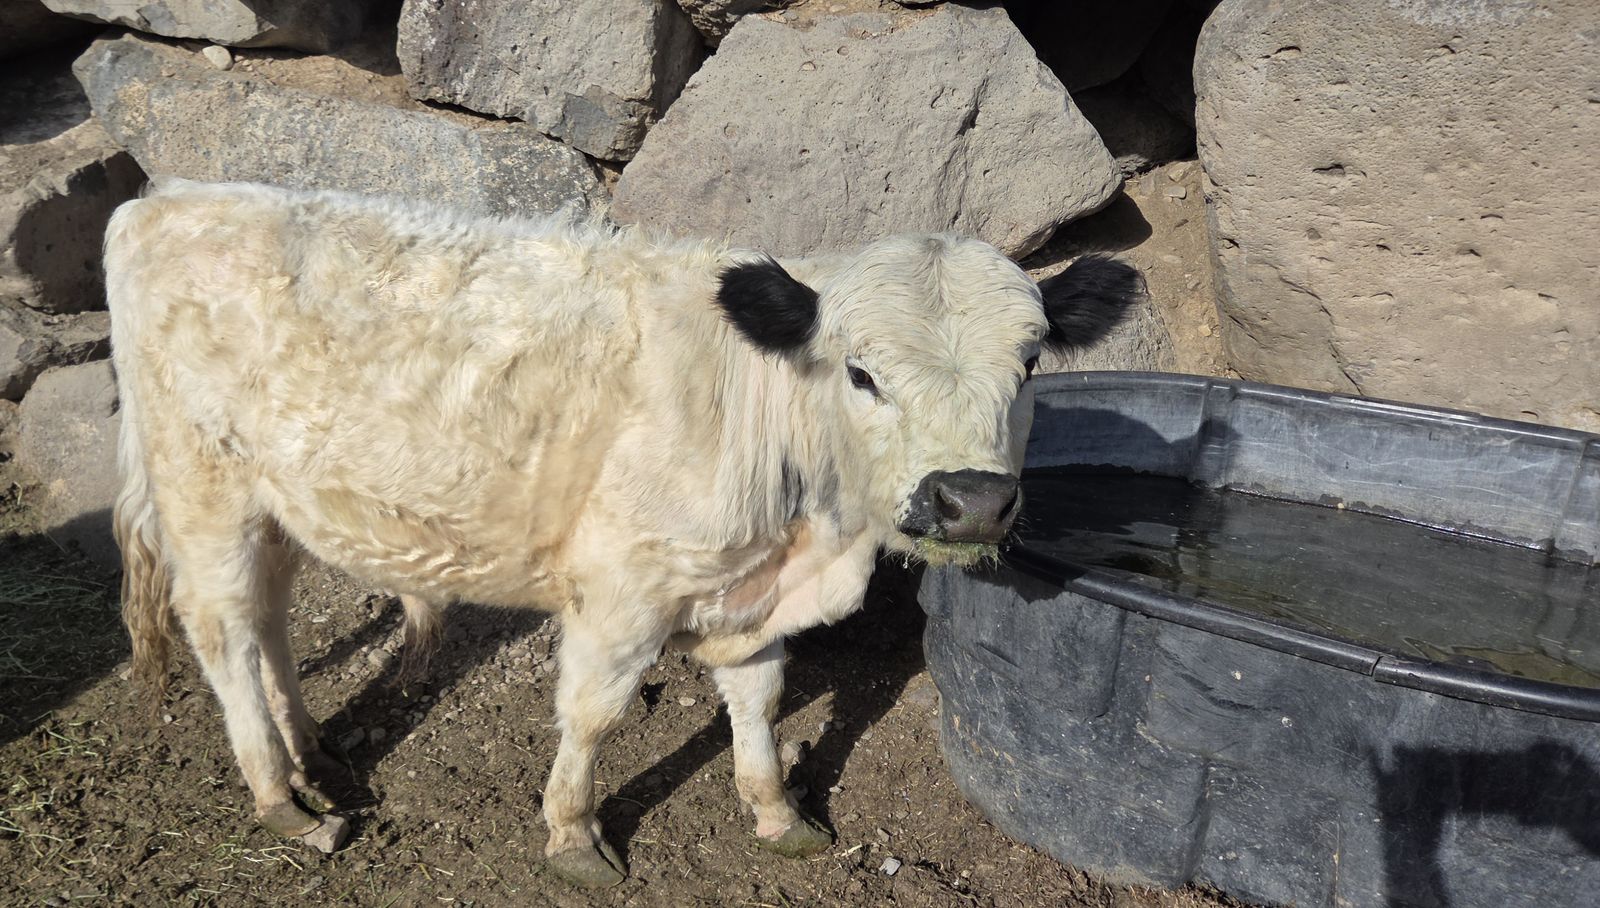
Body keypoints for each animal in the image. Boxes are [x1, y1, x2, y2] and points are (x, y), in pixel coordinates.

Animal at [105, 179, 1138, 887]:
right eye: (862, 373)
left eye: (1031, 362)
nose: (971, 499)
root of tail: (165, 199)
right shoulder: (624, 588)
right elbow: (595, 713)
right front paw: (573, 835)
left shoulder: (746, 587)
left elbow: (760, 699)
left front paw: (777, 812)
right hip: (204, 485)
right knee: (224, 629)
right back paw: (280, 798)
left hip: (274, 500)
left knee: (270, 616)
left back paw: (311, 751)